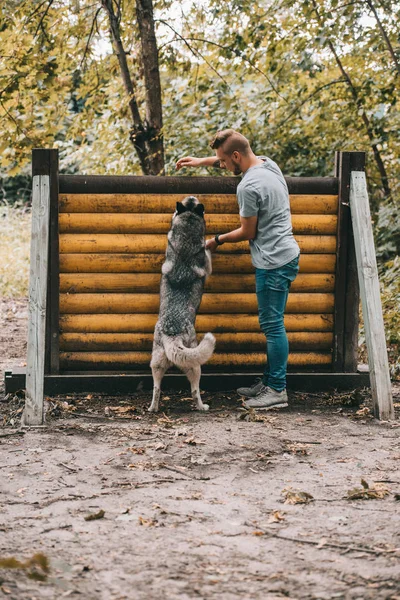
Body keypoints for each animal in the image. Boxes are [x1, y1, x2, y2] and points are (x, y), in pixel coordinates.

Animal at [148, 197, 216, 412]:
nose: (193, 197)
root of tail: (172, 334)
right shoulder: (207, 264)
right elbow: (208, 255)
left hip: (156, 364)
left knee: (156, 388)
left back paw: (153, 408)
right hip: (195, 364)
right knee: (195, 390)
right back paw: (202, 407)